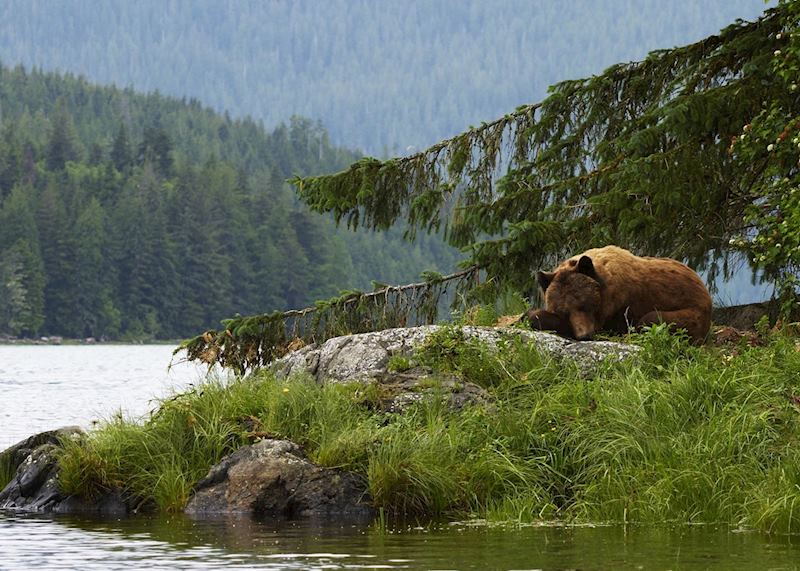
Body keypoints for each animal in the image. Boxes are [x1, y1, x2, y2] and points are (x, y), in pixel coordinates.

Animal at [525, 245, 712, 344]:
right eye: (564, 311)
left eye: (584, 305)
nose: (584, 335)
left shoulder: (616, 308)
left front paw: (533, 315)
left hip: (693, 314)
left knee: (652, 318)